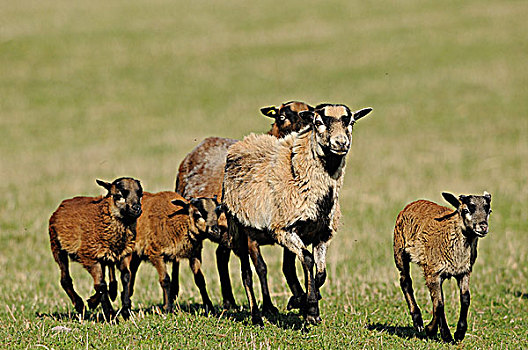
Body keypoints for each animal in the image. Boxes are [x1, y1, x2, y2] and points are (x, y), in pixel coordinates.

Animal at [48, 176, 143, 322]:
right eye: (119, 196)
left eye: (140, 194)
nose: (137, 209)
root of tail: (61, 205)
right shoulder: (90, 257)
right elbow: (101, 285)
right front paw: (102, 309)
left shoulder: (124, 254)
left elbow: (126, 277)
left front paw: (126, 310)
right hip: (58, 248)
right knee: (65, 280)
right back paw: (80, 305)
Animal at [223, 104, 376, 326]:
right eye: (318, 122)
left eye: (351, 122)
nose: (340, 143)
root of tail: (246, 141)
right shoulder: (283, 229)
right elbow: (308, 260)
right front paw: (310, 309)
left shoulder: (322, 234)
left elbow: (320, 272)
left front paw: (304, 302)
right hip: (241, 230)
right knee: (247, 273)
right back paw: (256, 317)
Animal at [394, 191, 492, 342]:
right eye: (466, 210)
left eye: (489, 211)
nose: (483, 227)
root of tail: (413, 203)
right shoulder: (433, 272)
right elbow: (440, 304)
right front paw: (445, 334)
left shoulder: (464, 272)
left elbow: (465, 299)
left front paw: (459, 333)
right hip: (399, 251)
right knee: (405, 282)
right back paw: (418, 322)